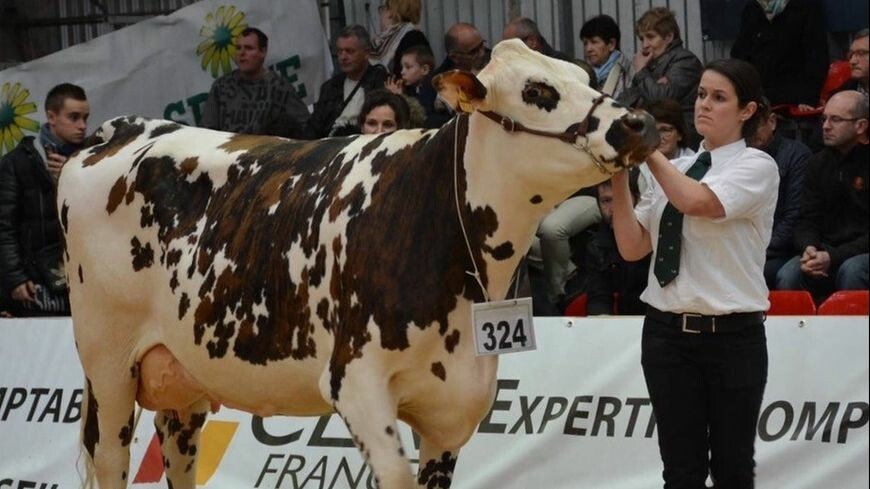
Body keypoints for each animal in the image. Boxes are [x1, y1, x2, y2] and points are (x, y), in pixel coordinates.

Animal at [59, 39, 658, 489]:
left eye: (583, 74)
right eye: (537, 90)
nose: (639, 123)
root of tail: (126, 129)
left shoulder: (453, 406)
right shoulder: (356, 381)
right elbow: (393, 475)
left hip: (180, 377)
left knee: (179, 454)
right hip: (108, 366)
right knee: (110, 459)